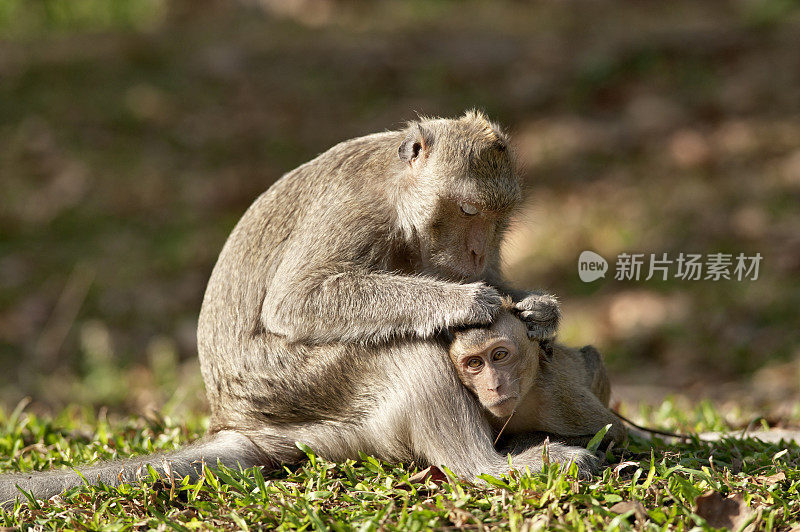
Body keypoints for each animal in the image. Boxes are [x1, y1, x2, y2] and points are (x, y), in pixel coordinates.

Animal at [450, 308, 624, 448]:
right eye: (475, 363)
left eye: (499, 355)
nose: (493, 386)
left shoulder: (561, 399)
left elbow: (614, 433)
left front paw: (518, 442)